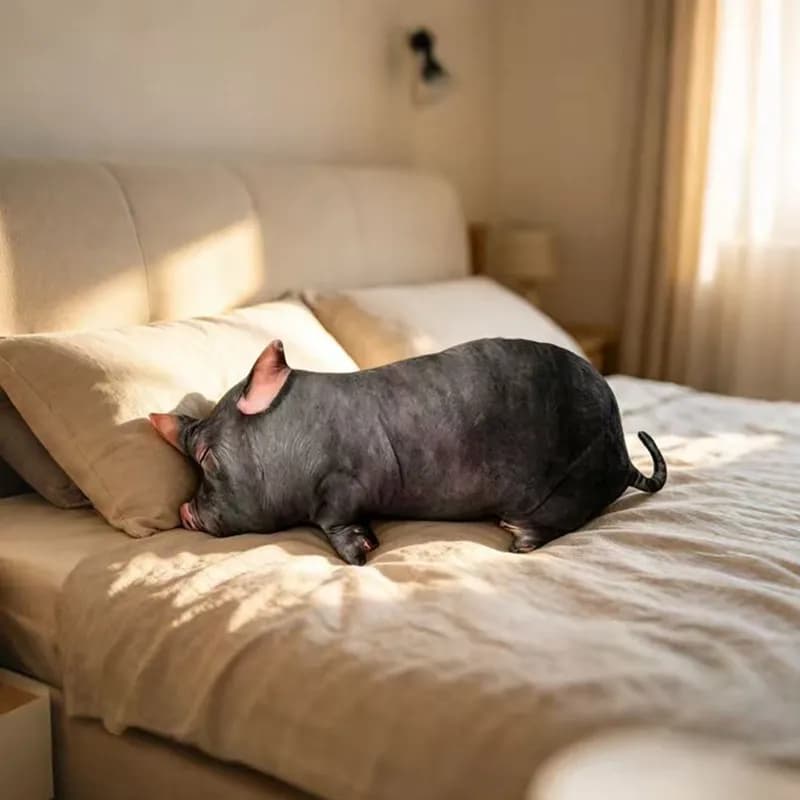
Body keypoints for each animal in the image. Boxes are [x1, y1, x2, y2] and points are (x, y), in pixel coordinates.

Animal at [150, 337, 667, 565]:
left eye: (206, 458)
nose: (183, 510)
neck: (298, 442)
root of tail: (624, 459)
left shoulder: (344, 486)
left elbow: (335, 521)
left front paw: (362, 555)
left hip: (576, 482)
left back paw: (516, 535)